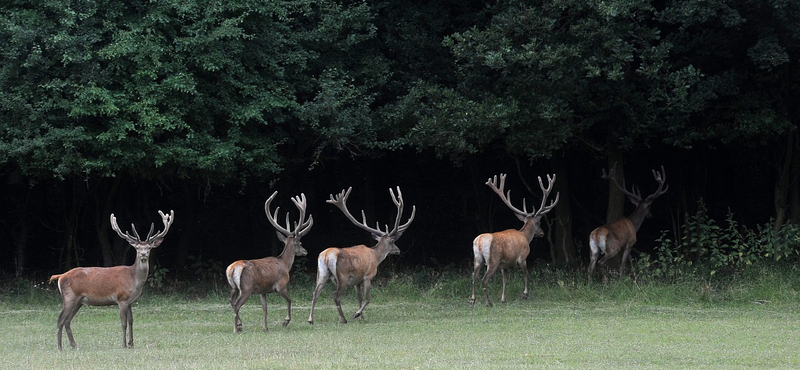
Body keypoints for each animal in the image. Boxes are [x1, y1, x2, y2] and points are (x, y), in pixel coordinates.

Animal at [49, 211, 174, 350]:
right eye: (137, 247)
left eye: (149, 247)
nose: (143, 254)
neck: (134, 279)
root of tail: (60, 276)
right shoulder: (121, 298)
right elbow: (124, 323)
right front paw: (124, 344)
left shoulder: (130, 301)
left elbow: (131, 321)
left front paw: (131, 343)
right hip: (69, 297)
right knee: (60, 319)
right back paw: (59, 347)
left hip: (78, 301)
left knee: (67, 320)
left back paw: (74, 345)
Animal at [227, 191, 314, 332]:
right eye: (299, 243)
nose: (305, 251)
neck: (285, 264)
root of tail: (233, 268)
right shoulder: (280, 285)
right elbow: (290, 300)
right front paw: (285, 321)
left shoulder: (262, 291)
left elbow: (265, 308)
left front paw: (265, 327)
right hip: (246, 288)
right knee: (236, 304)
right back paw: (236, 328)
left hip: (233, 287)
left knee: (231, 302)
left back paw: (239, 325)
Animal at [306, 186, 416, 322]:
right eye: (393, 242)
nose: (398, 250)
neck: (376, 256)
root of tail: (326, 255)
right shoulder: (368, 275)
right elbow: (367, 299)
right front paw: (357, 314)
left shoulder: (356, 281)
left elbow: (359, 298)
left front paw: (361, 317)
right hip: (342, 276)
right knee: (336, 297)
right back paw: (343, 319)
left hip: (321, 274)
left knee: (315, 293)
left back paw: (311, 319)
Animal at [468, 173, 556, 306]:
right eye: (539, 223)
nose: (542, 233)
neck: (525, 236)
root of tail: (480, 241)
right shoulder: (522, 257)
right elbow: (527, 275)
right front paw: (525, 295)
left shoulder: (504, 265)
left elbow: (505, 280)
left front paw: (503, 299)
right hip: (493, 260)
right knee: (484, 279)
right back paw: (489, 302)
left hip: (477, 259)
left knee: (474, 276)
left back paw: (473, 300)